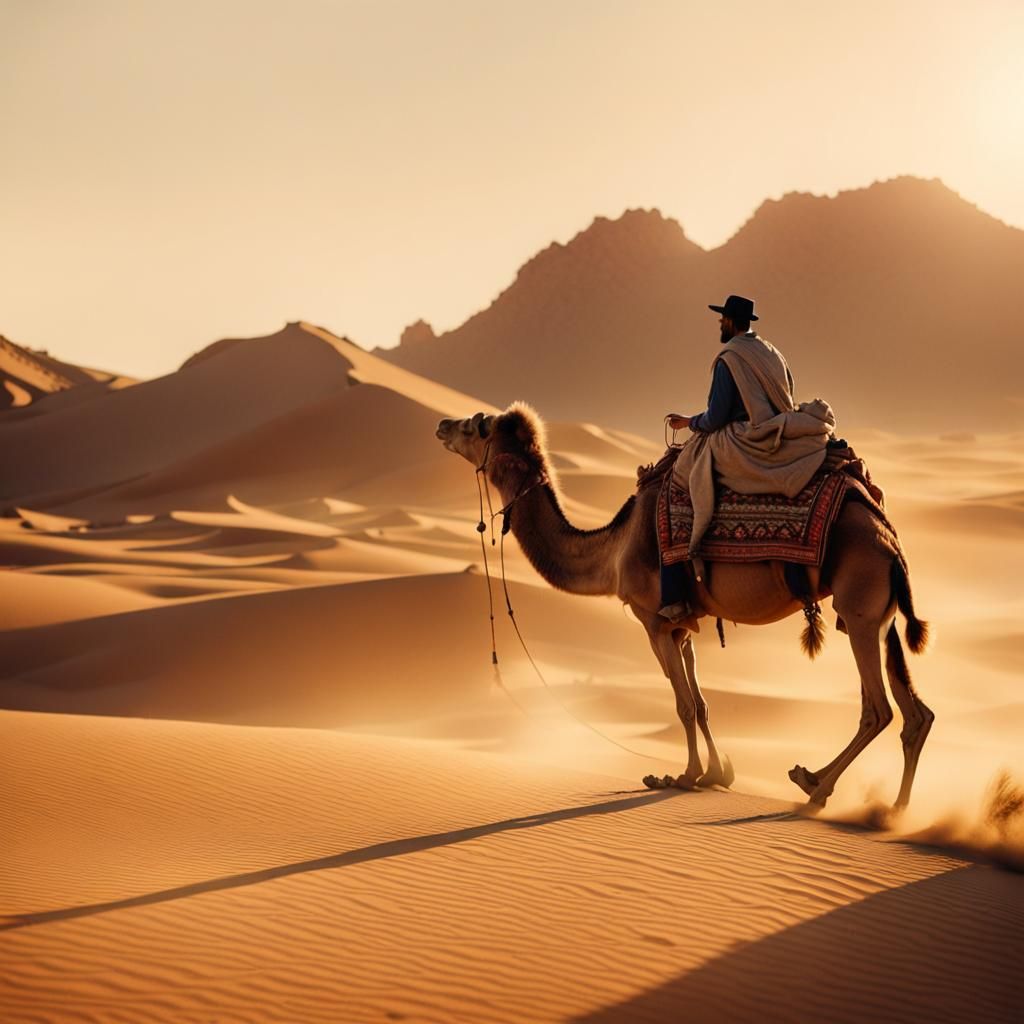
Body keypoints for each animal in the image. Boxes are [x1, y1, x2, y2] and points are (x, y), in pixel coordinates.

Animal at [436, 403, 933, 811]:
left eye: (478, 425)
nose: (442, 425)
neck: (614, 547)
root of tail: (891, 542)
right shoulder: (683, 623)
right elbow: (702, 701)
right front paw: (717, 772)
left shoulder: (653, 621)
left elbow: (683, 705)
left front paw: (684, 775)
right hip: (878, 617)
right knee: (916, 714)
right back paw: (893, 809)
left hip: (860, 606)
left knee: (878, 710)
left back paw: (815, 785)